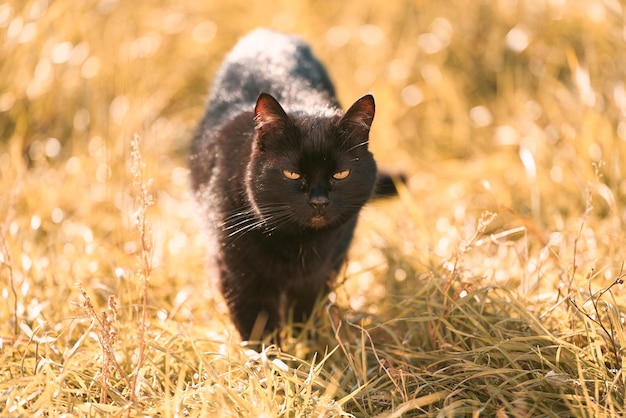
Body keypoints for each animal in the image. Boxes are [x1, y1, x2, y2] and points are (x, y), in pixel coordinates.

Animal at [188, 28, 390, 342]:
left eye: (340, 174)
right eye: (292, 174)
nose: (318, 201)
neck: (298, 244)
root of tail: (269, 33)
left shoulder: (317, 276)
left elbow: (304, 315)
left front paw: (310, 346)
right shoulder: (238, 278)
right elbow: (258, 330)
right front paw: (271, 356)